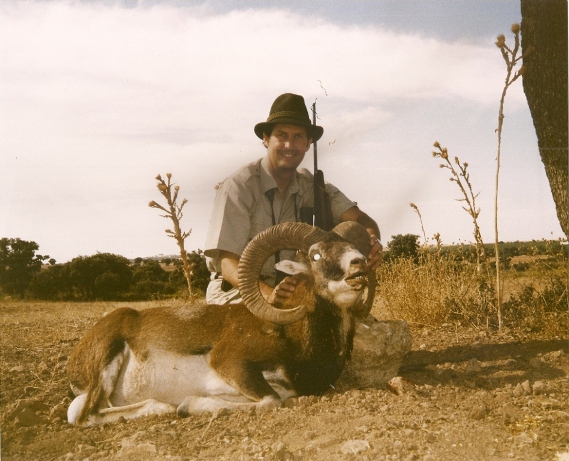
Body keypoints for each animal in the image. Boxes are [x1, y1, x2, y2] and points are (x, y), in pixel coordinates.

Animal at [66, 221, 376, 425]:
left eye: (355, 248)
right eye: (316, 255)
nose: (358, 265)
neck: (294, 339)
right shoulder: (230, 362)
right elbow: (271, 400)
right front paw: (187, 406)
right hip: (106, 363)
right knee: (85, 416)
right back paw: (164, 407)